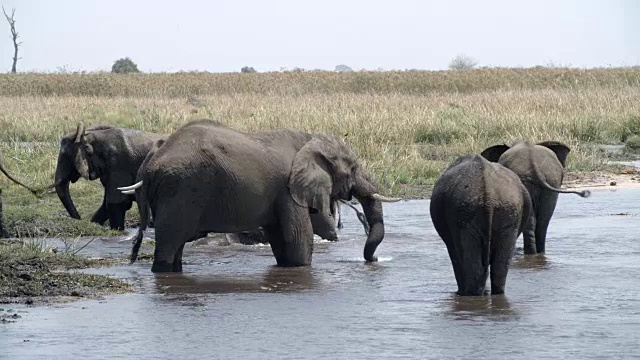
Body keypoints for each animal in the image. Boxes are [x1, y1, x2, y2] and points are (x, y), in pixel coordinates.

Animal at [119, 119, 400, 272]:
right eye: (352, 168)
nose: (374, 258)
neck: (311, 140)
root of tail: (153, 160)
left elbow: (280, 238)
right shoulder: (288, 189)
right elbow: (299, 238)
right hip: (181, 189)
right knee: (169, 243)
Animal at [430, 155, 536, 296]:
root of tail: (489, 194)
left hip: (467, 211)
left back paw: (471, 294)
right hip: (508, 210)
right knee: (500, 265)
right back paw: (494, 293)